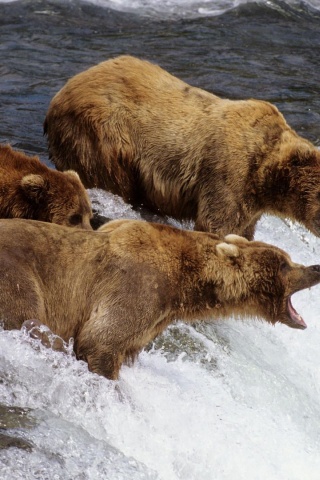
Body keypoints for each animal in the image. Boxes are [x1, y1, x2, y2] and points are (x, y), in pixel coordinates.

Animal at [1, 218, 318, 378]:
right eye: (285, 265)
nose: (315, 267)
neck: (185, 285)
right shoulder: (139, 285)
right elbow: (100, 339)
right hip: (17, 276)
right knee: (28, 318)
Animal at [43, 54, 320, 240]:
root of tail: (60, 93)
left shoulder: (249, 202)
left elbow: (242, 230)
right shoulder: (228, 176)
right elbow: (216, 225)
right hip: (102, 135)